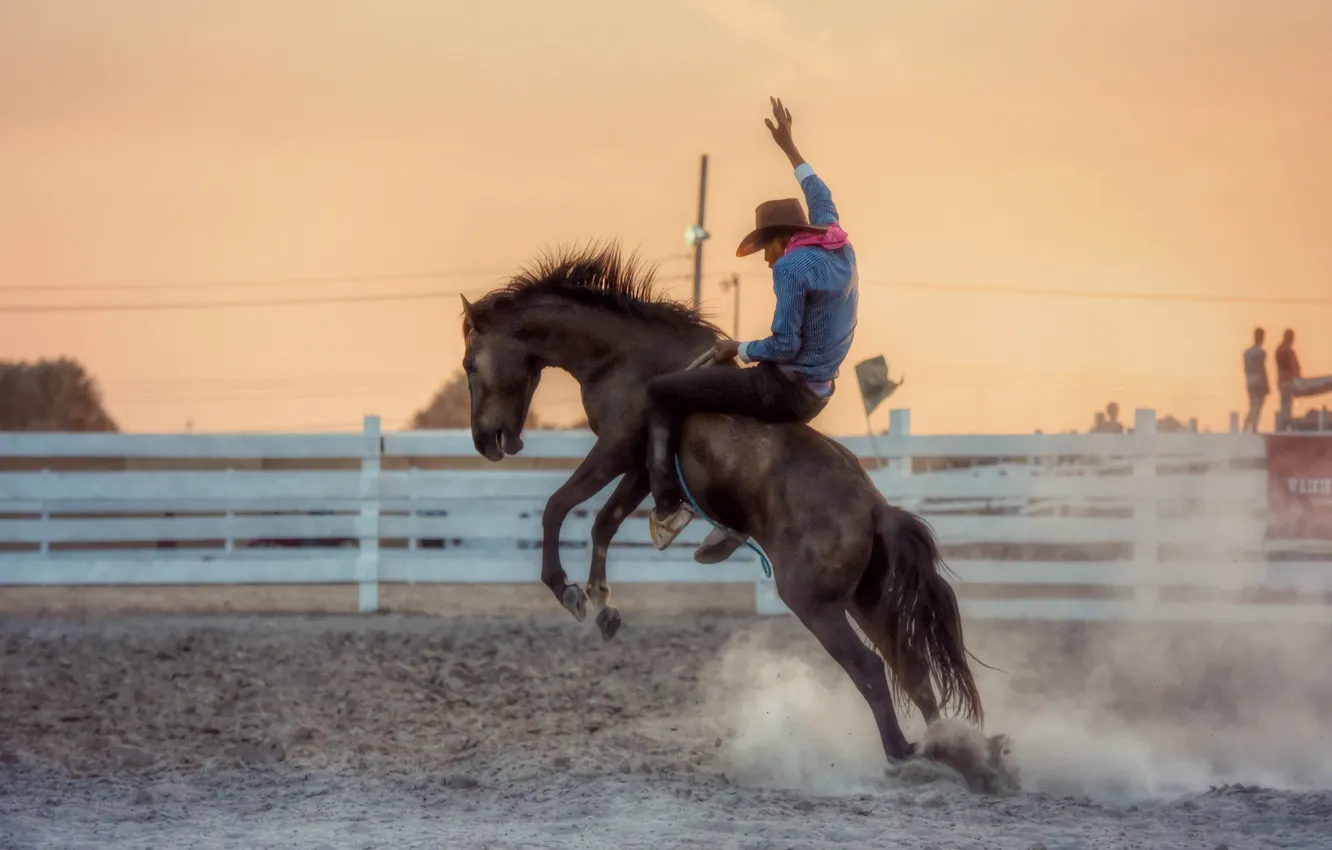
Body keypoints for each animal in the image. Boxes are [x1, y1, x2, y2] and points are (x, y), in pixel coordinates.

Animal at [459, 242, 983, 762]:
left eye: (468, 364)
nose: (485, 442)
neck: (623, 355)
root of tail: (878, 511)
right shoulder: (643, 466)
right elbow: (604, 522)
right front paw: (605, 605)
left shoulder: (617, 447)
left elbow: (557, 507)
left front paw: (566, 590)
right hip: (865, 598)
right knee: (913, 670)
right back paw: (953, 750)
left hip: (814, 602)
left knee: (872, 670)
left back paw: (904, 754)